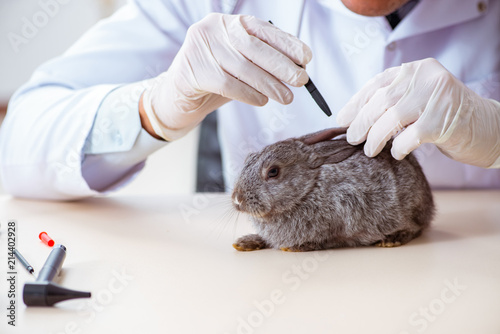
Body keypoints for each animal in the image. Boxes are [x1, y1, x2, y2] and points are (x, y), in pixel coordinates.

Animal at [232, 126, 436, 252]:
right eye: (247, 160)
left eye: (273, 171)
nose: (237, 199)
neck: (308, 189)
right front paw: (245, 242)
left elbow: (324, 240)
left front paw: (295, 247)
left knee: (416, 228)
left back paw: (392, 239)